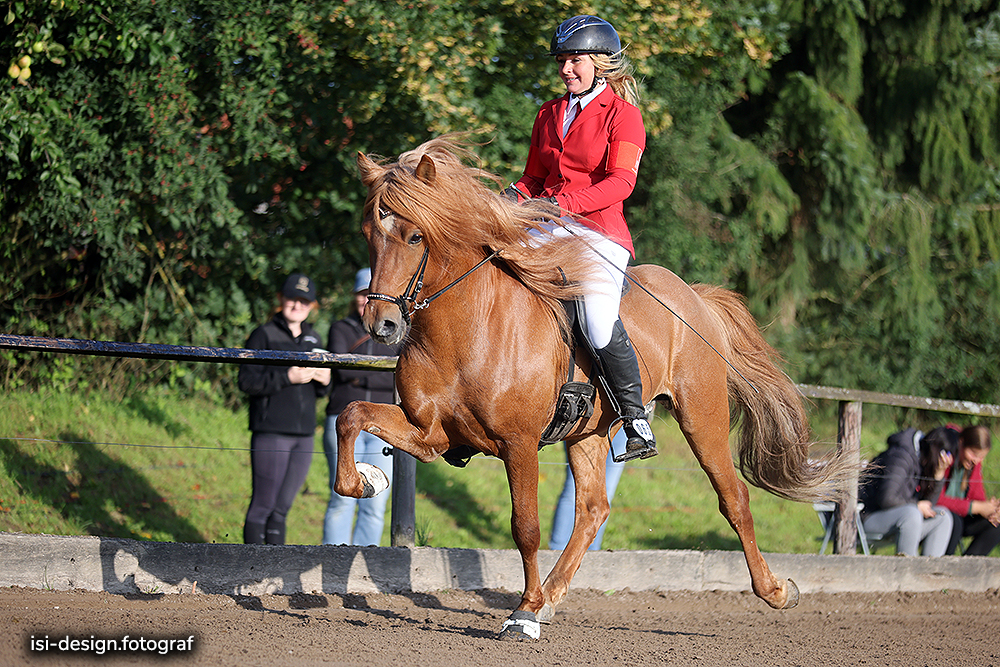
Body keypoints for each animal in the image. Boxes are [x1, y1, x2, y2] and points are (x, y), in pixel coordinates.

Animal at [334, 137, 852, 640]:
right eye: (368, 235)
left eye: (415, 236)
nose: (381, 324)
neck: (467, 326)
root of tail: (694, 297)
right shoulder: (431, 435)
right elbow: (351, 416)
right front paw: (368, 478)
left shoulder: (518, 444)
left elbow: (525, 527)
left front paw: (523, 614)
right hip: (589, 433)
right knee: (592, 510)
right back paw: (551, 596)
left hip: (701, 418)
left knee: (734, 499)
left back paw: (775, 591)